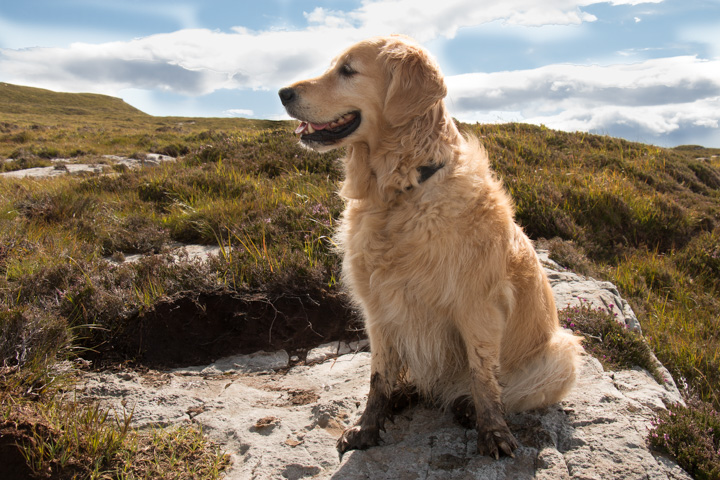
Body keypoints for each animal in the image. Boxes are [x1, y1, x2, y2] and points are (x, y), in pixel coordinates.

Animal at [278, 35, 584, 460]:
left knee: (491, 391)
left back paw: (466, 407)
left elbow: (483, 375)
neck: (399, 192)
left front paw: (493, 432)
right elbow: (378, 376)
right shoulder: (379, 311)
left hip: (563, 356)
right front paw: (368, 426)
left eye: (348, 70)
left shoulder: (478, 306)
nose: (282, 93)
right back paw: (405, 395)